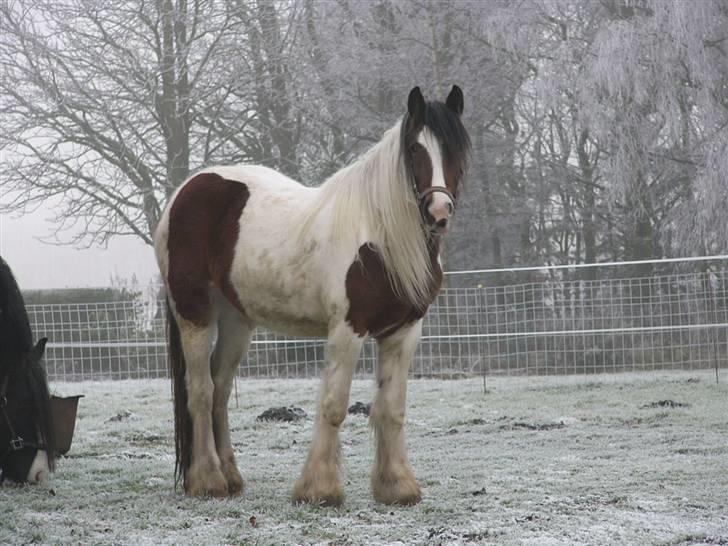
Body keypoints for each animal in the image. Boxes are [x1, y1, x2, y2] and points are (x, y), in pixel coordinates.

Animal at [154, 85, 472, 506]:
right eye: (415, 150)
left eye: (456, 151)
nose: (439, 213)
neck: (379, 236)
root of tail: (184, 192)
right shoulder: (347, 330)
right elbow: (334, 406)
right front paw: (318, 489)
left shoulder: (402, 333)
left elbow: (392, 409)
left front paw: (397, 487)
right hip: (195, 314)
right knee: (201, 392)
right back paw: (208, 480)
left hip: (237, 321)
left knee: (220, 388)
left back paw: (231, 476)